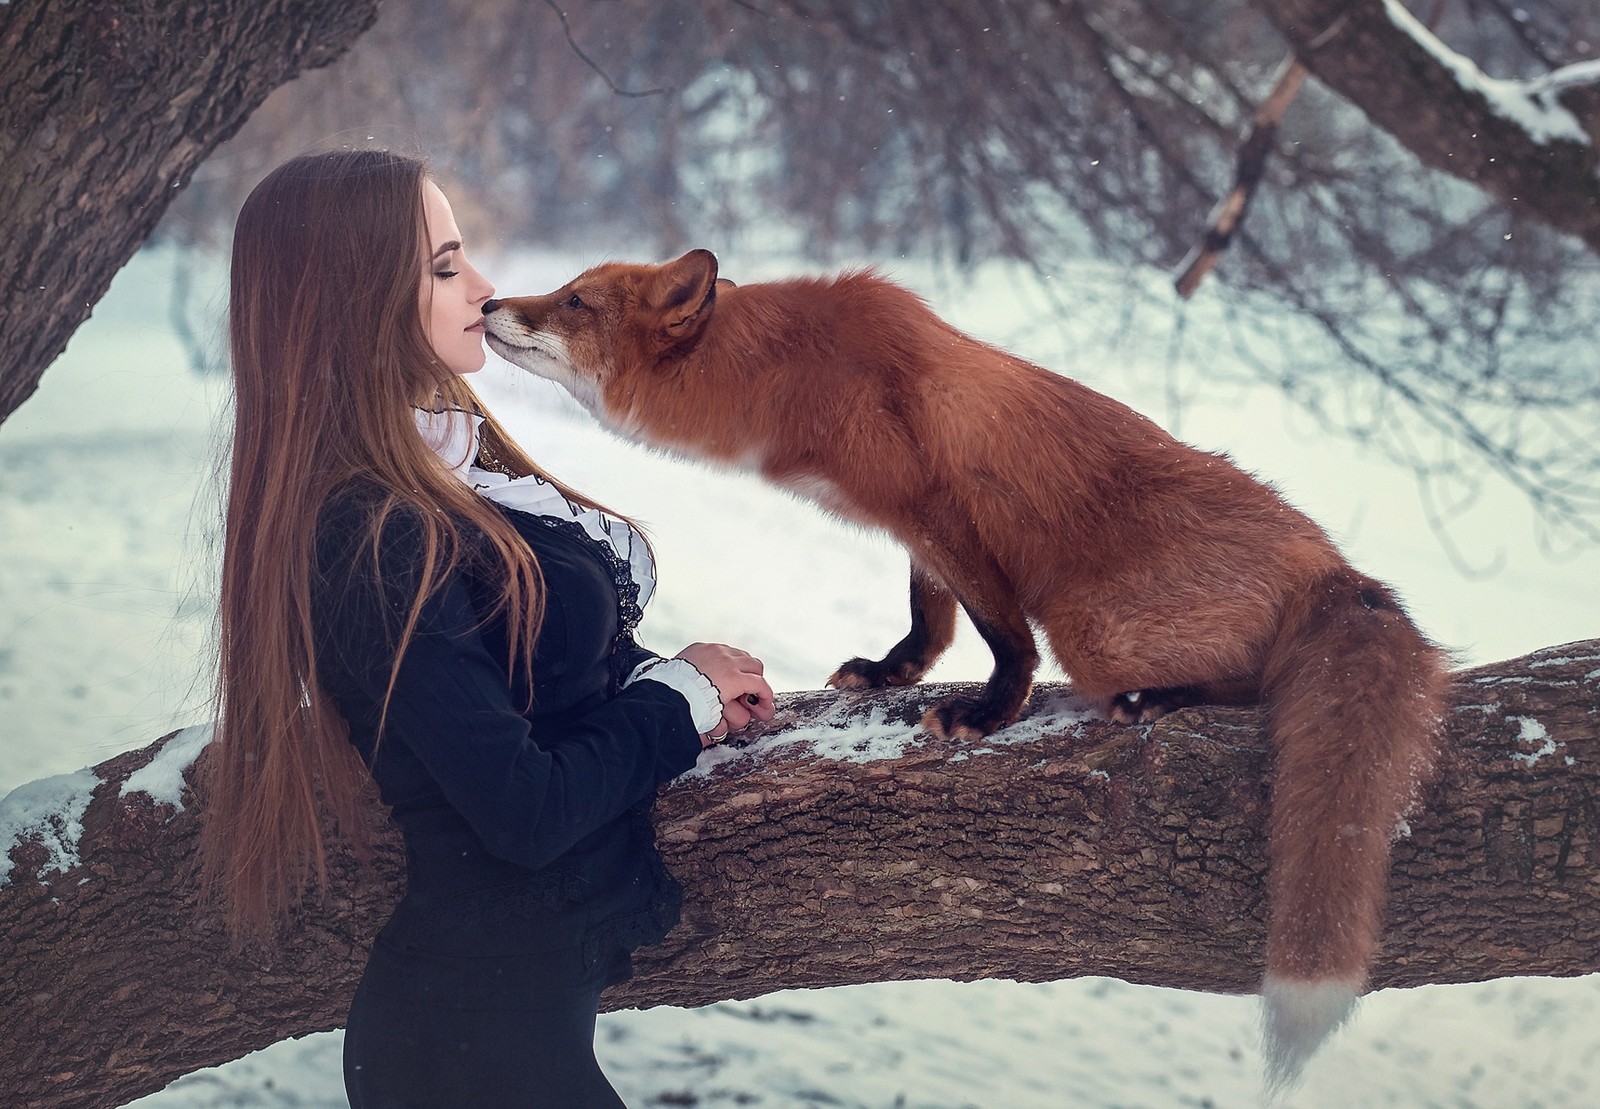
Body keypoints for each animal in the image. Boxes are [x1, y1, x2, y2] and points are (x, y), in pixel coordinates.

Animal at [473, 248, 1452, 1081]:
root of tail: (1335, 568)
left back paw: (1159, 698)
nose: (486, 303)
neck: (792, 376)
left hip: (1092, 624)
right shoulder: (917, 532)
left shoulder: (943, 512)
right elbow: (930, 618)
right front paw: (893, 671)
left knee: (1247, 683)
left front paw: (990, 711)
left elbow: (1001, 633)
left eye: (574, 302)